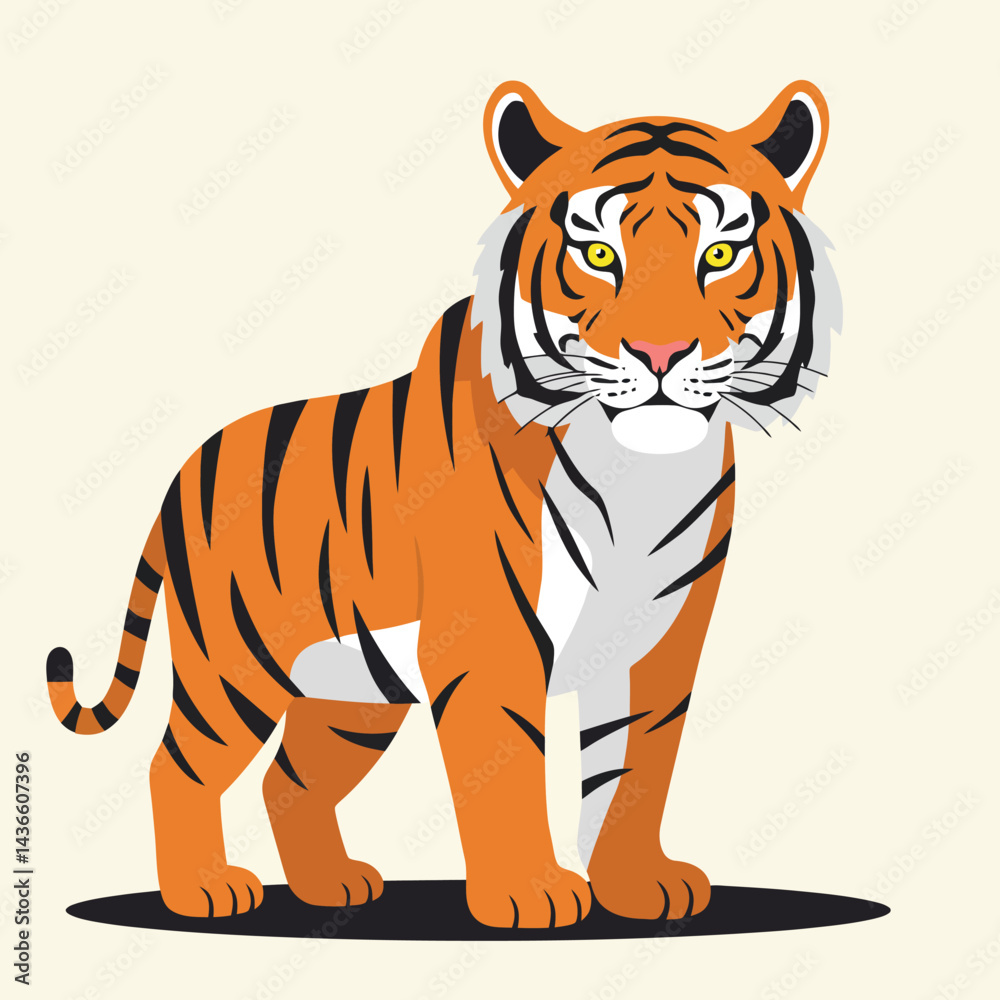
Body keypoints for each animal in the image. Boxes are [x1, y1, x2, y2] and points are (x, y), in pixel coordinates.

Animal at [47, 80, 839, 929]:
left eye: (720, 255)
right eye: (598, 255)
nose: (660, 355)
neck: (638, 471)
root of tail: (179, 472)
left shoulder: (659, 638)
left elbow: (635, 767)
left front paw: (637, 885)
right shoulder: (489, 634)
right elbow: (508, 758)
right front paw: (530, 894)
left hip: (352, 694)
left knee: (286, 777)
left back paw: (330, 884)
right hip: (234, 666)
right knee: (177, 765)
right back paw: (202, 889)